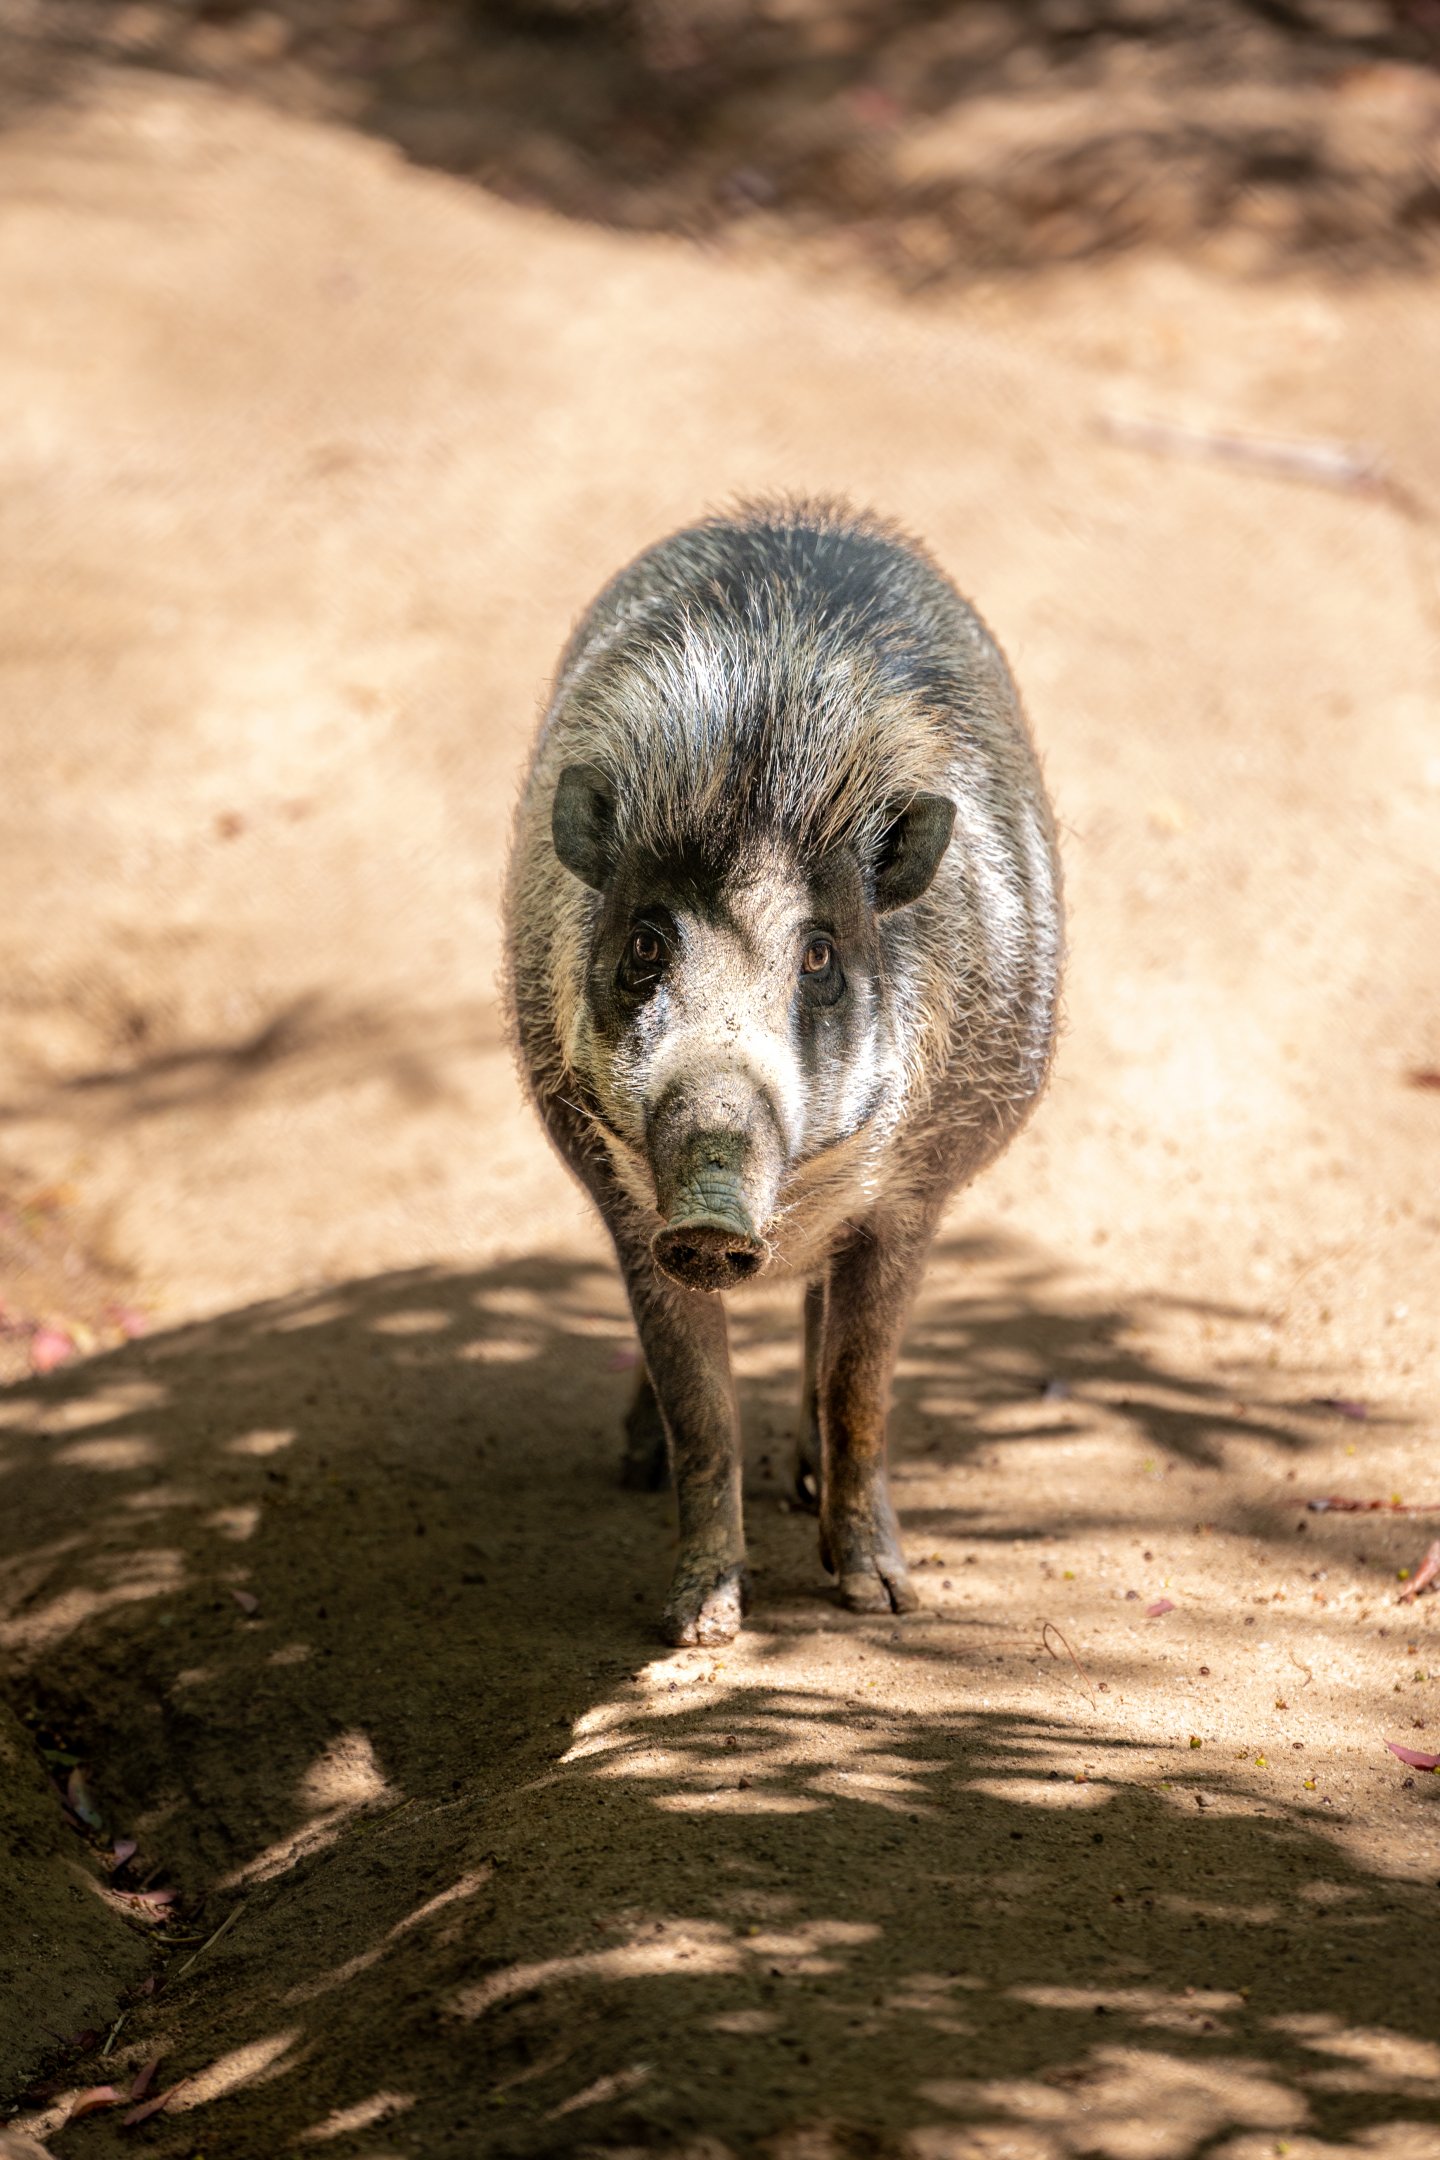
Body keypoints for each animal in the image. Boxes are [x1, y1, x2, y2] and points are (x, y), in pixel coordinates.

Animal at [503, 499, 1062, 1646]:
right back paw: (633, 1466)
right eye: (644, 945)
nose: (712, 1222)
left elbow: (860, 1384)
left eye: (818, 957)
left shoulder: (911, 1200)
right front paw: (699, 1626)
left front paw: (882, 1600)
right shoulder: (630, 1213)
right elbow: (702, 1409)